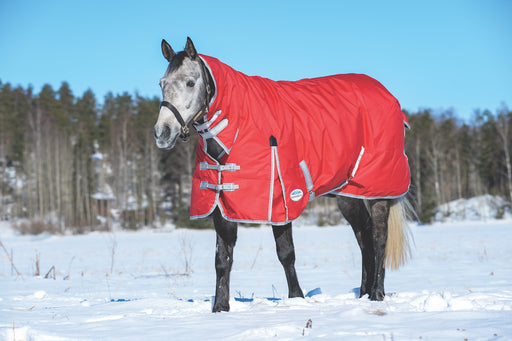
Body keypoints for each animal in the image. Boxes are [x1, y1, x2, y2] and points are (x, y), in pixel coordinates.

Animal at [155, 36, 412, 310]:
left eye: (190, 82)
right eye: (162, 83)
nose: (162, 133)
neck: (237, 125)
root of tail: (388, 96)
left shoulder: (282, 199)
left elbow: (286, 252)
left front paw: (296, 298)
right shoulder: (223, 203)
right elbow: (222, 259)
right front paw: (220, 308)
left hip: (378, 192)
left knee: (379, 238)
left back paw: (377, 293)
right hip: (349, 195)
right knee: (364, 237)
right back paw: (364, 293)